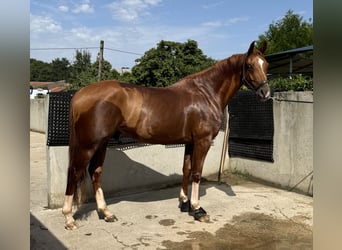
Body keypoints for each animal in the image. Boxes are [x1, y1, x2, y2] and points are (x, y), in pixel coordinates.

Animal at [61, 41, 270, 230]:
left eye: (266, 65)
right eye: (250, 65)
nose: (265, 93)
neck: (206, 93)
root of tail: (80, 94)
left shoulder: (190, 142)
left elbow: (186, 169)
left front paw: (185, 203)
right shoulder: (202, 141)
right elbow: (196, 172)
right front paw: (197, 209)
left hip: (102, 143)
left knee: (95, 172)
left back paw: (106, 213)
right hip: (88, 145)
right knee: (74, 172)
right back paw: (69, 218)